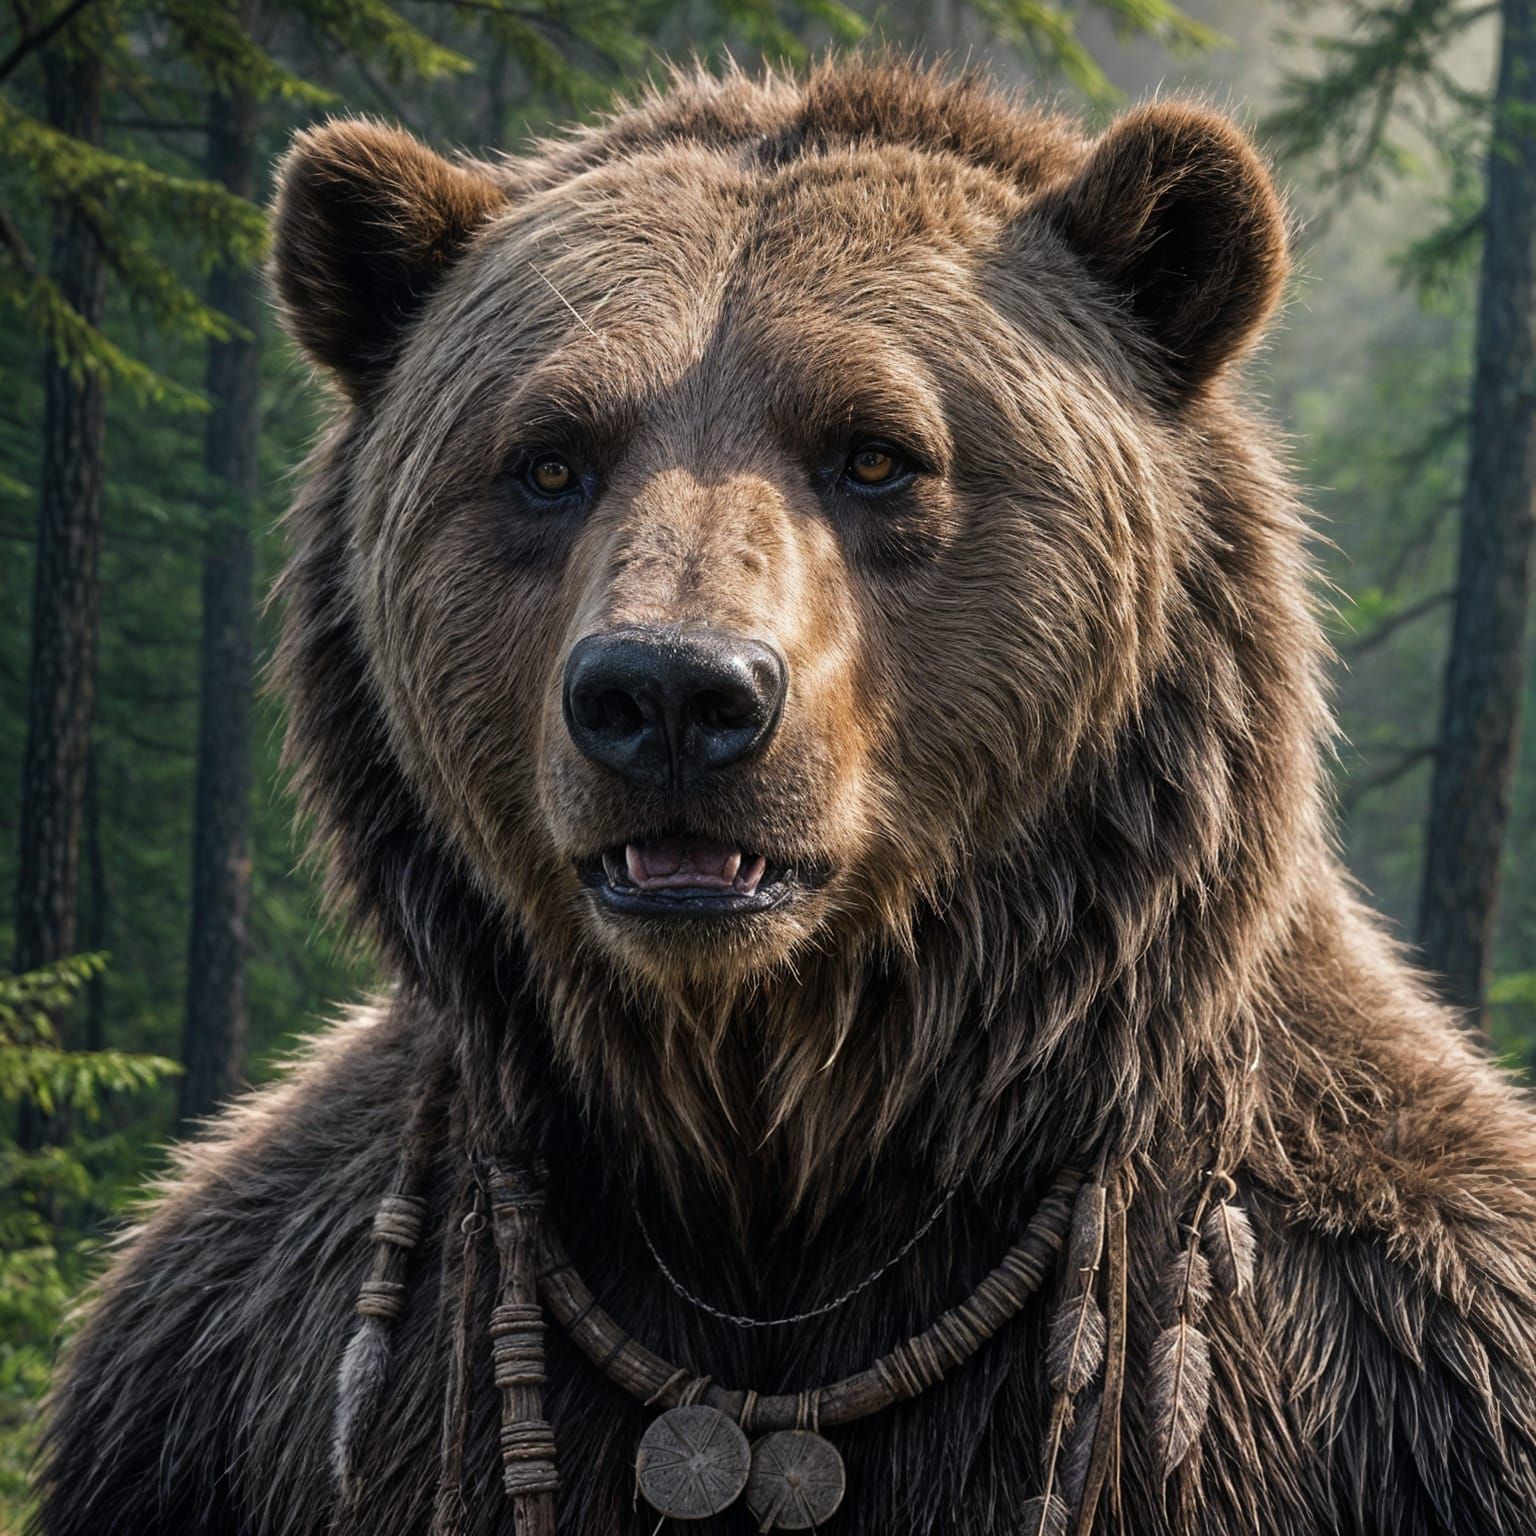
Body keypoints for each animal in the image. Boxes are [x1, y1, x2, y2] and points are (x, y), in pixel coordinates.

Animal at [33, 57, 1536, 1536]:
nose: (673, 698)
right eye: (547, 457)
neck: (778, 1182)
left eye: (876, 451)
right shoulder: (218, 1387)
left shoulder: (1404, 1374)